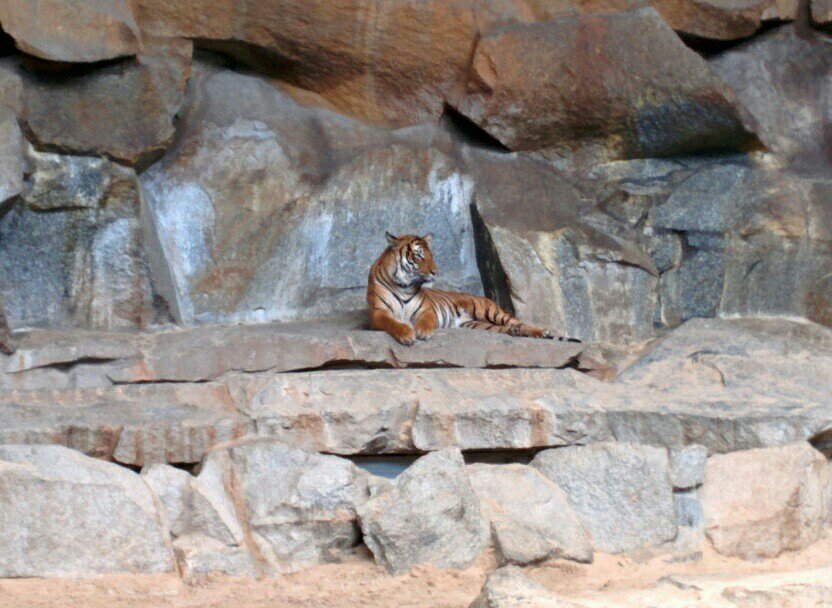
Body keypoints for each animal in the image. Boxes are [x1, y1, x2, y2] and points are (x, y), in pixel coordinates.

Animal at [367, 232, 580, 345]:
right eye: (419, 256)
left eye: (431, 255)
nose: (436, 271)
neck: (403, 285)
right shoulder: (378, 313)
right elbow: (392, 323)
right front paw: (406, 334)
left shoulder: (426, 309)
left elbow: (426, 320)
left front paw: (423, 331)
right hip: (478, 325)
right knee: (508, 327)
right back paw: (515, 333)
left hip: (489, 311)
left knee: (518, 322)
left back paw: (540, 332)